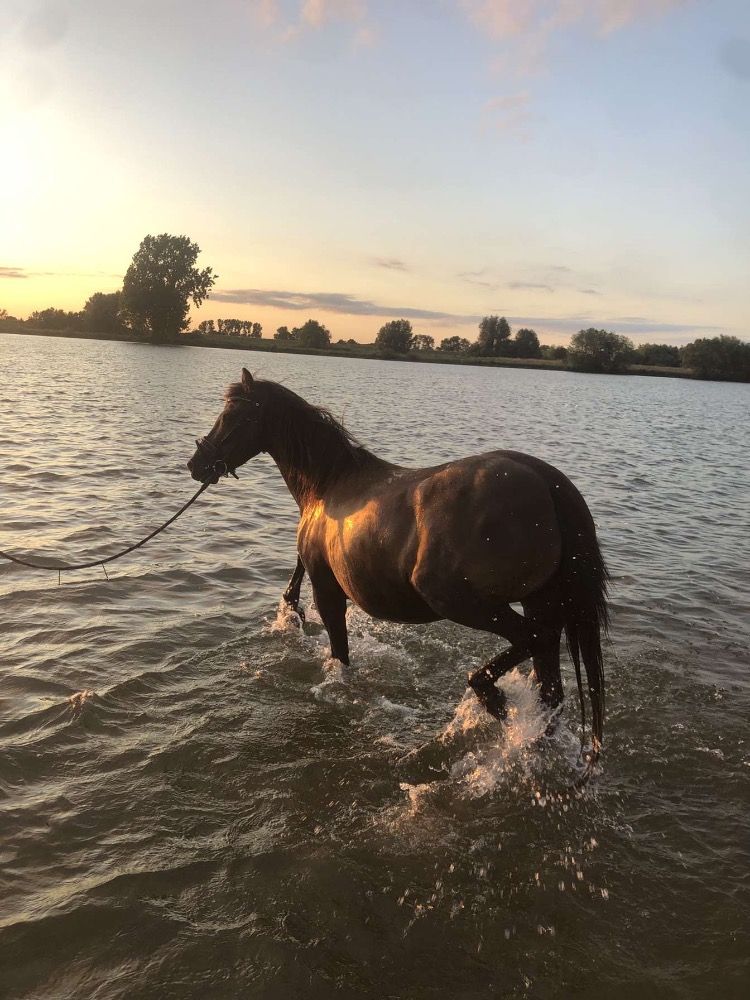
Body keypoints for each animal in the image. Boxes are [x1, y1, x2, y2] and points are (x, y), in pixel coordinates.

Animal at [187, 368, 609, 753]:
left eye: (232, 415)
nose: (197, 464)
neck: (327, 486)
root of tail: (545, 479)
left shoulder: (328, 590)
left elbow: (339, 652)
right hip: (539, 602)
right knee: (549, 679)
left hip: (462, 601)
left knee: (534, 640)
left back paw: (493, 698)